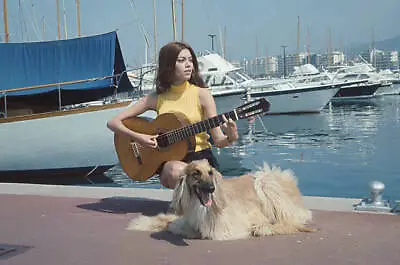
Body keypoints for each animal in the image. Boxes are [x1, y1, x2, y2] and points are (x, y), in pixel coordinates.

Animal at [127, 158, 312, 240]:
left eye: (210, 172)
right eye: (196, 173)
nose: (211, 189)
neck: (201, 207)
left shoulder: (230, 227)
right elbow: (172, 222)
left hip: (265, 181)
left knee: (292, 220)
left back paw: (265, 228)